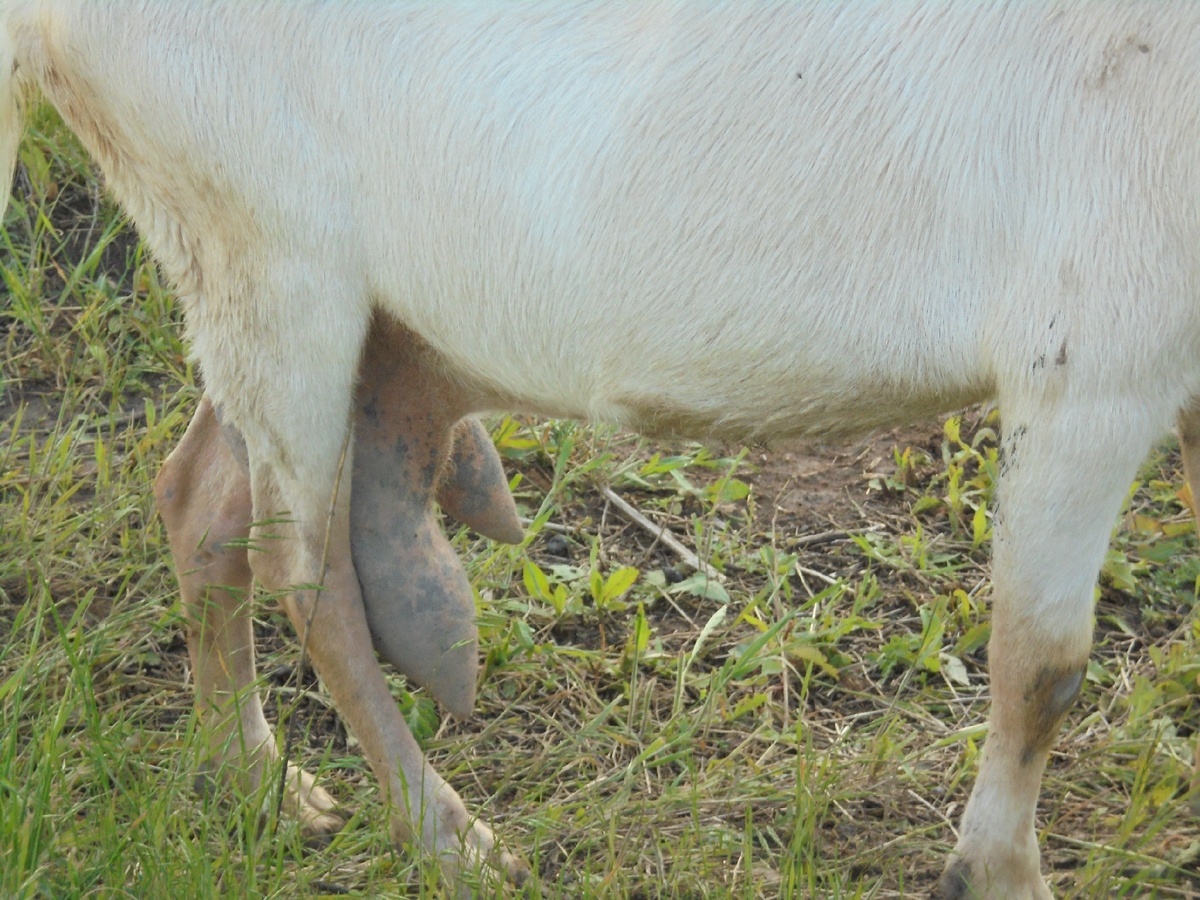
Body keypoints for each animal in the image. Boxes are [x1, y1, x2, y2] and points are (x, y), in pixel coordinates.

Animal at [4, 3, 1195, 897]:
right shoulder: (1089, 371)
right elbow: (1040, 668)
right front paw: (997, 877)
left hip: (260, 289)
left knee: (203, 497)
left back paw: (254, 775)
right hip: (272, 259)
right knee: (305, 569)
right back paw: (447, 837)